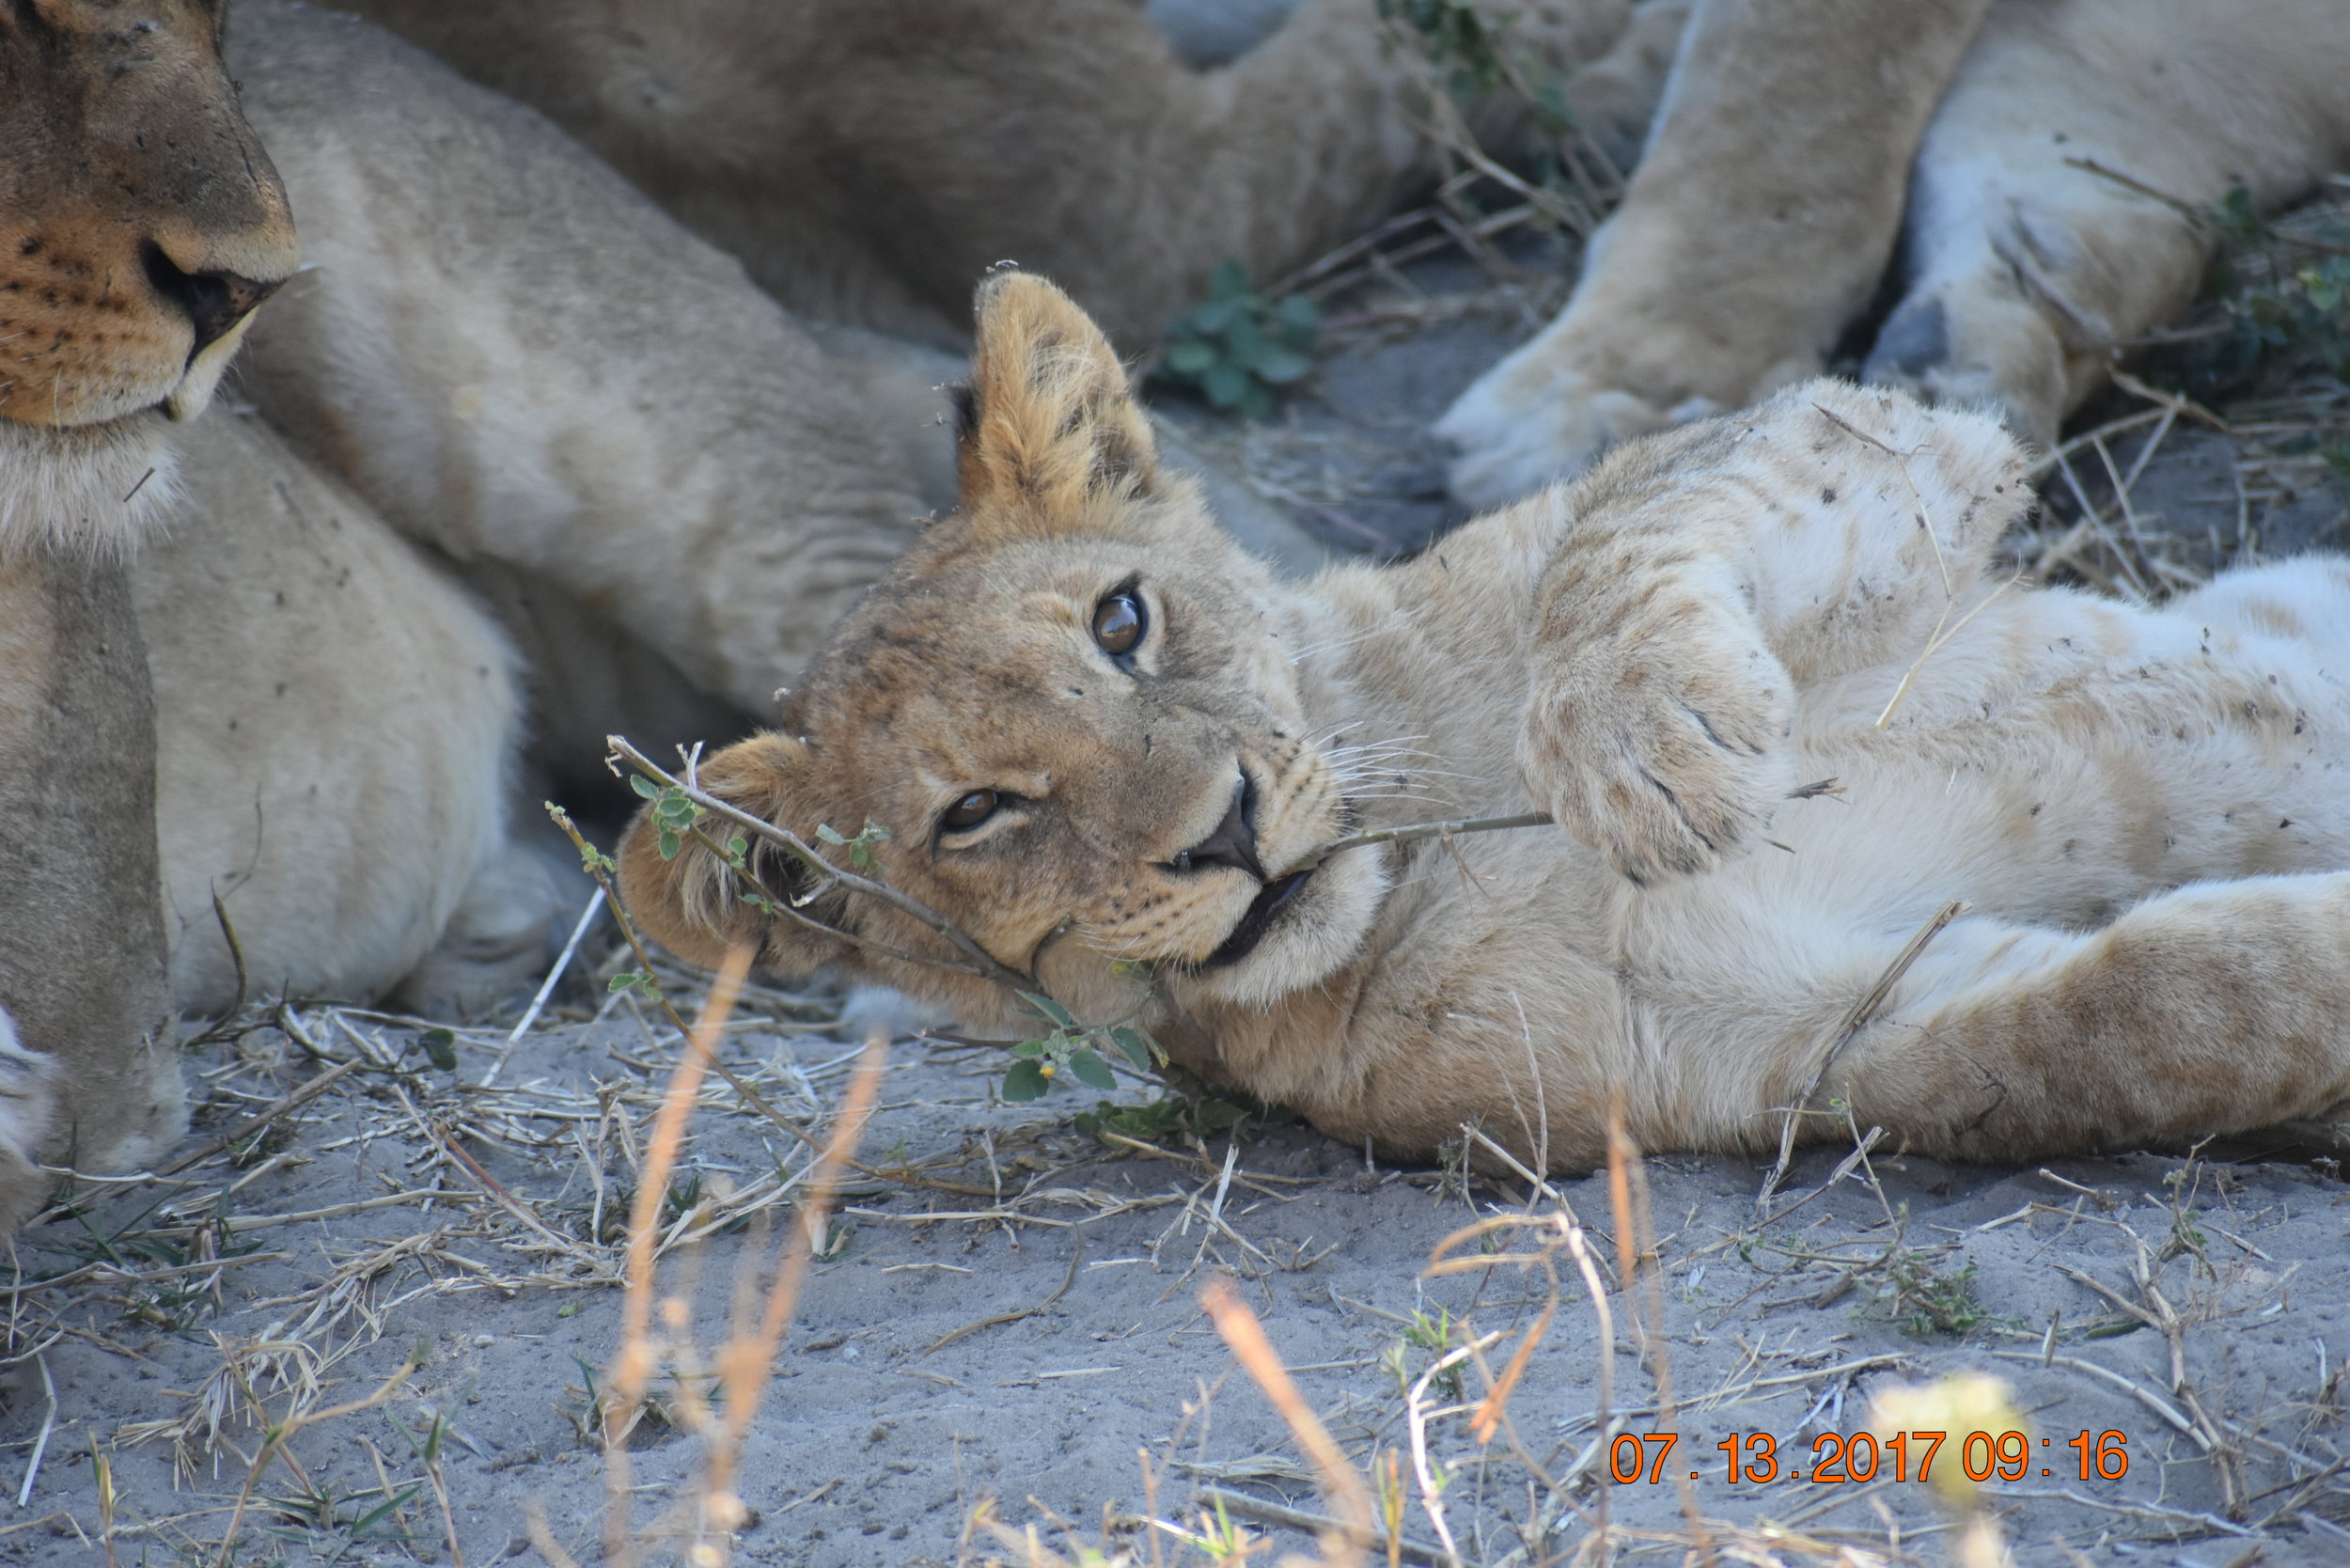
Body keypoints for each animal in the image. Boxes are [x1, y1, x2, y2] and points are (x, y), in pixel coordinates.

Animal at [622, 275, 2350, 1171]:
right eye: (974, 814)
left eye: (1123, 622)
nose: (1225, 832)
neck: (1425, 851)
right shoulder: (1797, 1042)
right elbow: (2158, 1008)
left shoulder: (1903, 445)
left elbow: (1627, 531)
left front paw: (1645, 745)